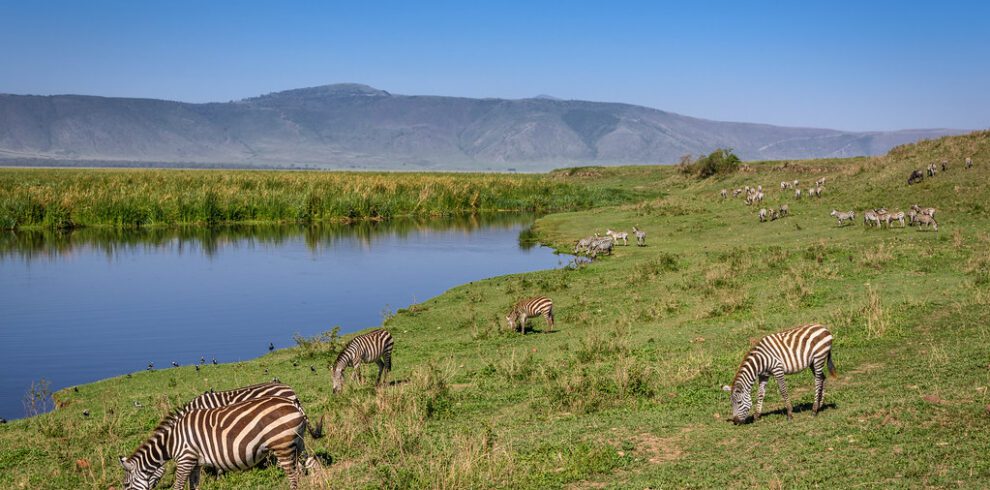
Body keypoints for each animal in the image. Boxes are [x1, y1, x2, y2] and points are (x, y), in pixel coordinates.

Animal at [118, 396, 324, 490]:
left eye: (126, 485)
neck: (172, 441)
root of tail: (293, 403)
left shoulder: (185, 460)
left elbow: (178, 486)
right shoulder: (194, 463)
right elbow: (194, 487)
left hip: (281, 445)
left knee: (294, 475)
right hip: (297, 443)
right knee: (312, 465)